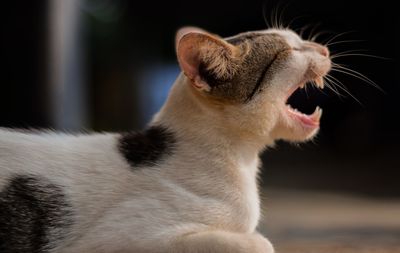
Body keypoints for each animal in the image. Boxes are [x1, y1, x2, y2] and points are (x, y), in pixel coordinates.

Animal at [0, 26, 330, 253]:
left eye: (299, 39)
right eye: (289, 51)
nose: (325, 49)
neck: (240, 159)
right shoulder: (116, 240)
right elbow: (259, 243)